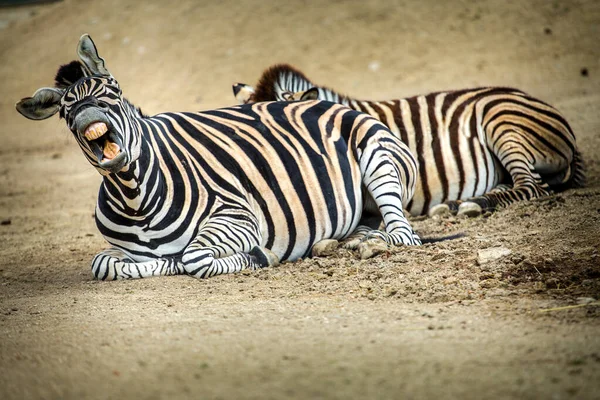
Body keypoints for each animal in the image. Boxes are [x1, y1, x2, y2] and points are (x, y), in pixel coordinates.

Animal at [18, 35, 422, 278]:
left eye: (112, 92)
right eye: (65, 112)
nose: (87, 116)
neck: (134, 197)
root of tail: (324, 100)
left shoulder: (239, 217)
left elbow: (195, 259)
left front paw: (260, 257)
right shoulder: (120, 252)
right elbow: (105, 264)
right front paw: (164, 263)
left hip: (378, 158)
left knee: (403, 234)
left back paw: (379, 240)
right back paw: (348, 240)